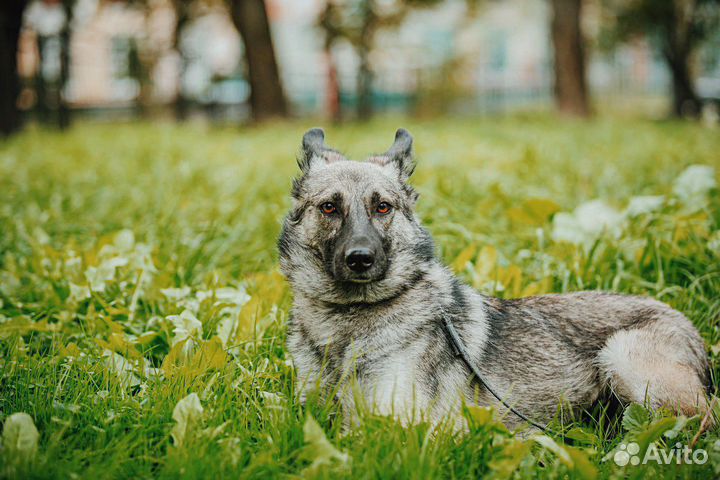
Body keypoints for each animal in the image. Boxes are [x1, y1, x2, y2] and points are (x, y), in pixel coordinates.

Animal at [278, 128, 712, 432]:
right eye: (329, 207)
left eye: (382, 207)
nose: (360, 259)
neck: (349, 322)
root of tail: (685, 322)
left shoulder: (397, 425)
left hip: (623, 359)